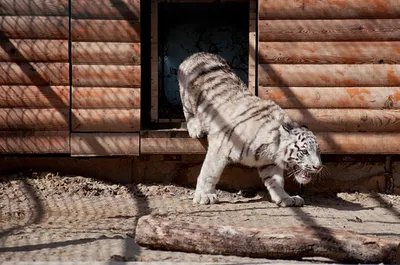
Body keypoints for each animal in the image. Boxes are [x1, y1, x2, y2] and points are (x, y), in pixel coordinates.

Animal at [178, 51, 322, 206]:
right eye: (304, 152)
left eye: (318, 152)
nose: (318, 167)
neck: (271, 149)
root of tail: (199, 54)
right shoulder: (219, 147)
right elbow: (209, 172)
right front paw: (205, 196)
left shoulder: (269, 162)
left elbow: (276, 181)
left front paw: (285, 198)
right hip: (187, 98)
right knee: (188, 112)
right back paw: (196, 128)